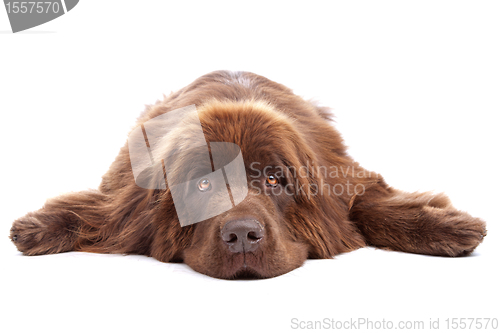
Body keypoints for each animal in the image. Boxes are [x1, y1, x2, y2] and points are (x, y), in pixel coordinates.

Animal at [9, 70, 486, 278]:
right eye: (202, 184)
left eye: (274, 180)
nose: (241, 235)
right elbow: (98, 212)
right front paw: (35, 228)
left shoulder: (342, 178)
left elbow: (370, 204)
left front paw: (451, 228)